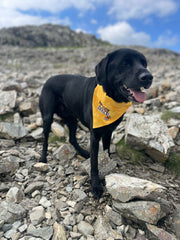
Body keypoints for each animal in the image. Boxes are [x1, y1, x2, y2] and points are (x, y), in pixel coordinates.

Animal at [38, 48, 153, 199]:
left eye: (144, 64)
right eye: (124, 64)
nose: (148, 77)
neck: (111, 97)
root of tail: (48, 79)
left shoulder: (108, 132)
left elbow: (106, 152)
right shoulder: (95, 134)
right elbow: (94, 163)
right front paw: (96, 186)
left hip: (72, 119)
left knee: (72, 138)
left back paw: (83, 152)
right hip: (47, 116)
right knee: (45, 138)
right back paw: (43, 158)